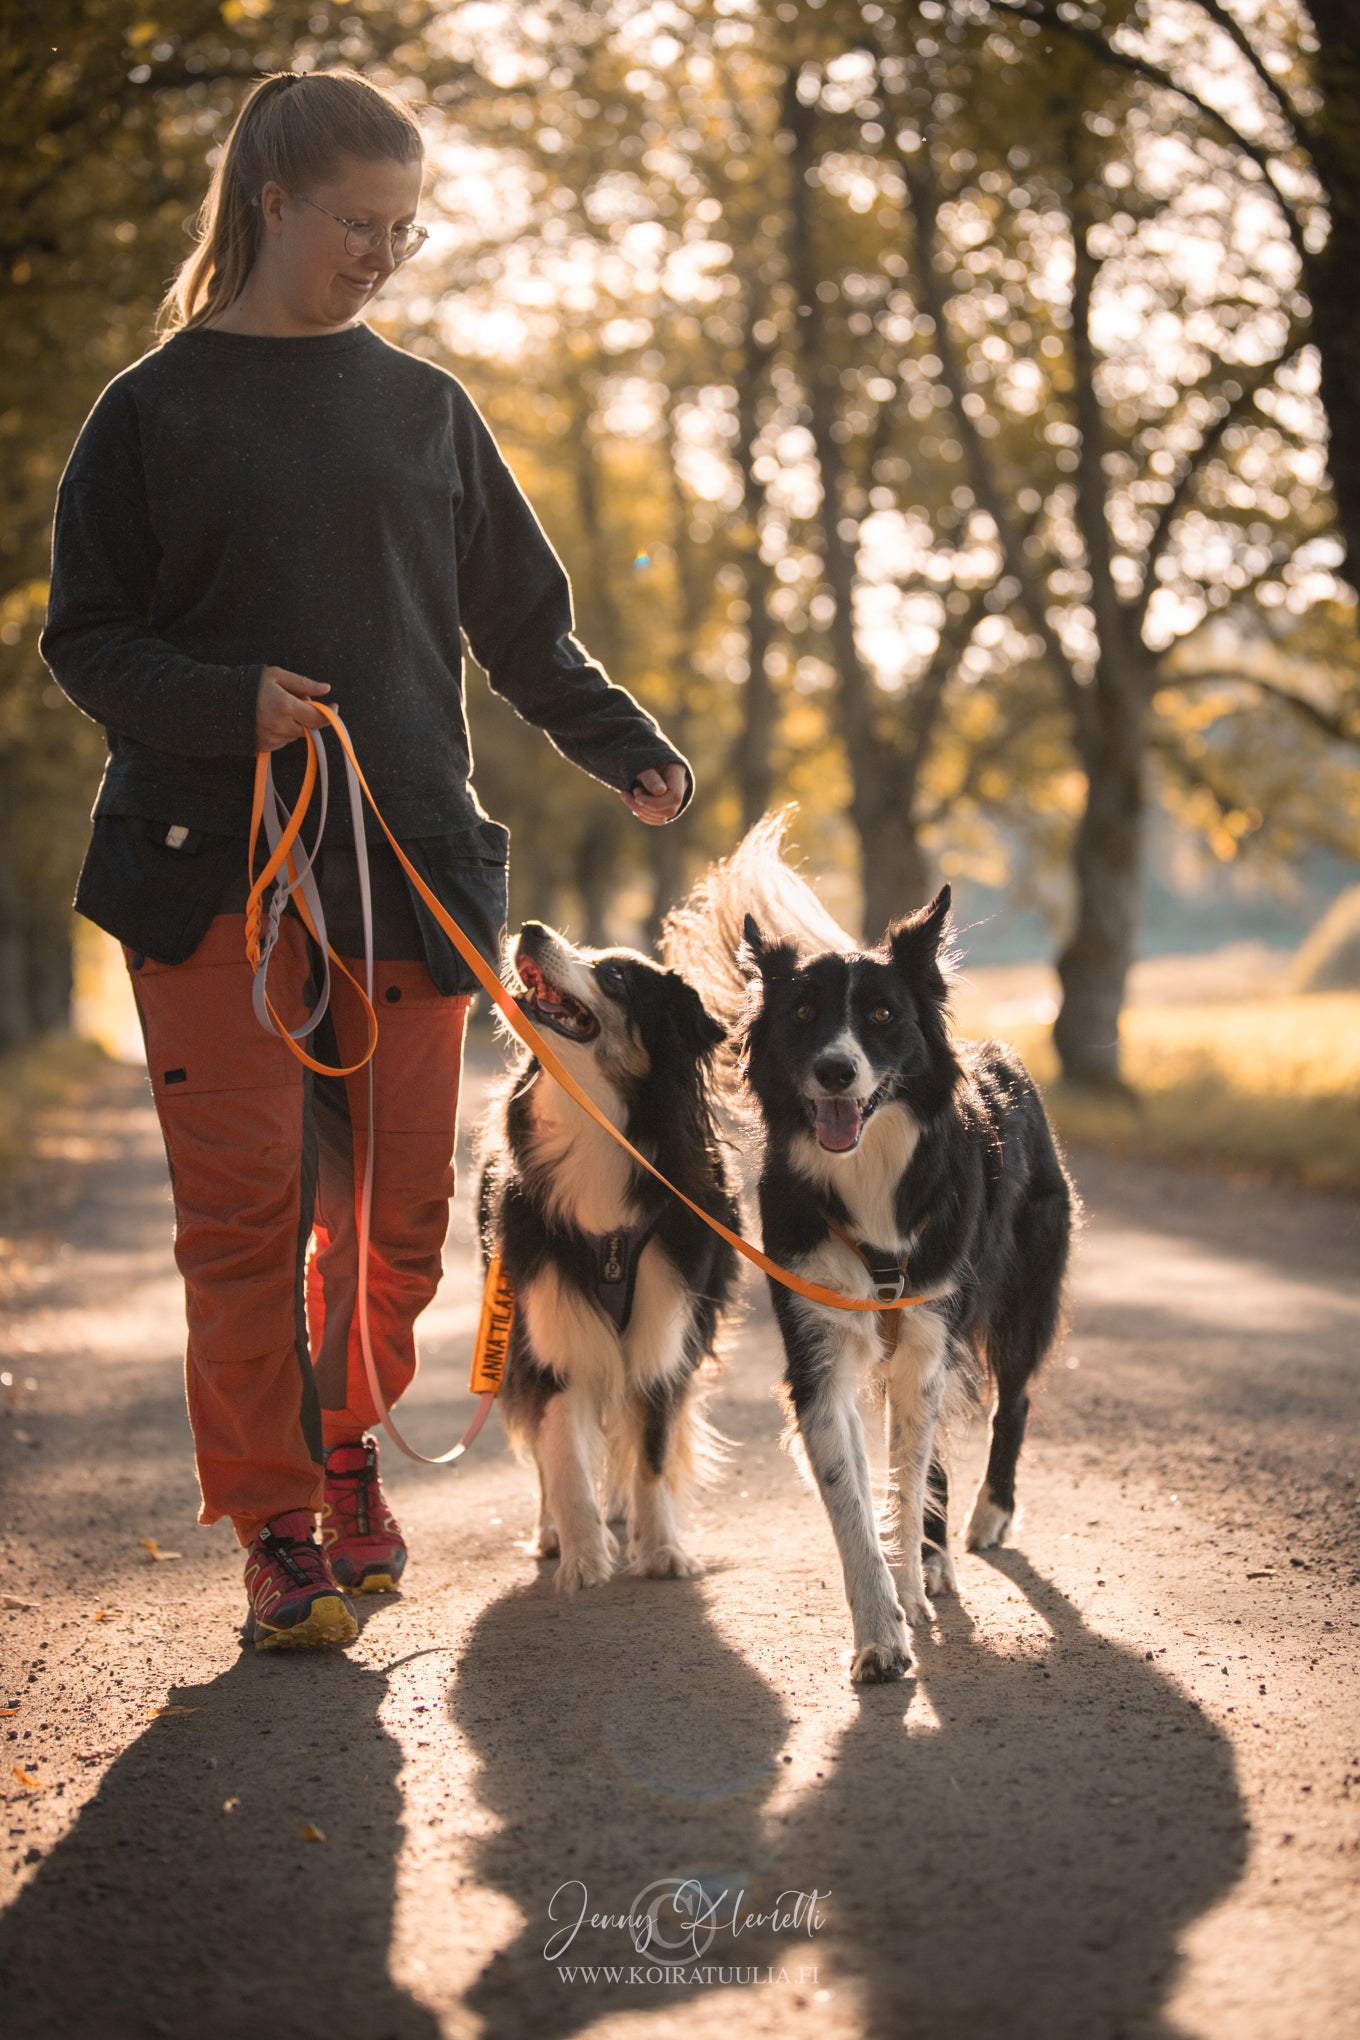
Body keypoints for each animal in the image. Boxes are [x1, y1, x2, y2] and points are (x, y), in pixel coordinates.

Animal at [477, 922, 738, 1591]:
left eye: (615, 976)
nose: (531, 929)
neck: (594, 1126)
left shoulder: (664, 1331)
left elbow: (652, 1453)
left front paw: (662, 1548)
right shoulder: (551, 1334)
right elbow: (565, 1461)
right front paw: (583, 1559)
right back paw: (554, 1533)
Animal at [668, 820, 1076, 1680]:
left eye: (885, 1014)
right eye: (802, 1013)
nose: (834, 1069)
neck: (871, 1173)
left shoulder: (927, 1337)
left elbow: (906, 1478)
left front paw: (910, 1594)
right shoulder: (822, 1354)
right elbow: (854, 1497)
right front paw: (882, 1631)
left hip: (1020, 1297)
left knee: (1013, 1403)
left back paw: (985, 1520)